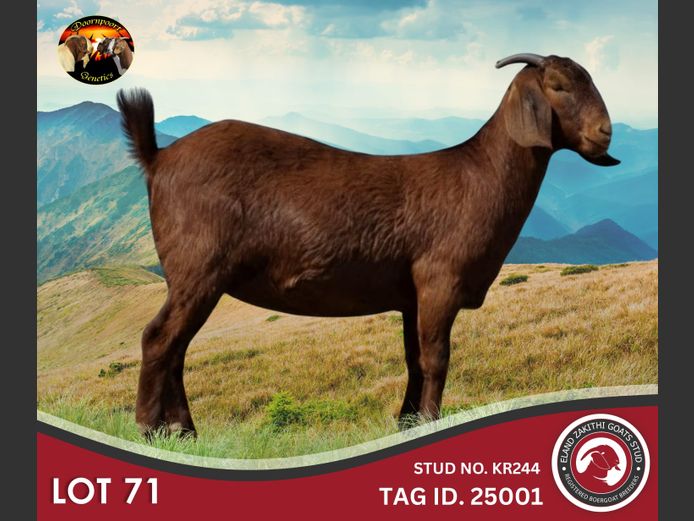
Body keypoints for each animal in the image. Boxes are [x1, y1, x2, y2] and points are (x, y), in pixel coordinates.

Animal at [117, 53, 619, 436]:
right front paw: (430, 422)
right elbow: (436, 358)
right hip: (198, 267)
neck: (478, 175)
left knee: (177, 348)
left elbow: (414, 359)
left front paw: (407, 423)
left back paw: (183, 431)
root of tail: (158, 157)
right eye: (558, 85)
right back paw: (150, 429)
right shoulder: (439, 282)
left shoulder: (411, 296)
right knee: (159, 339)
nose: (605, 133)